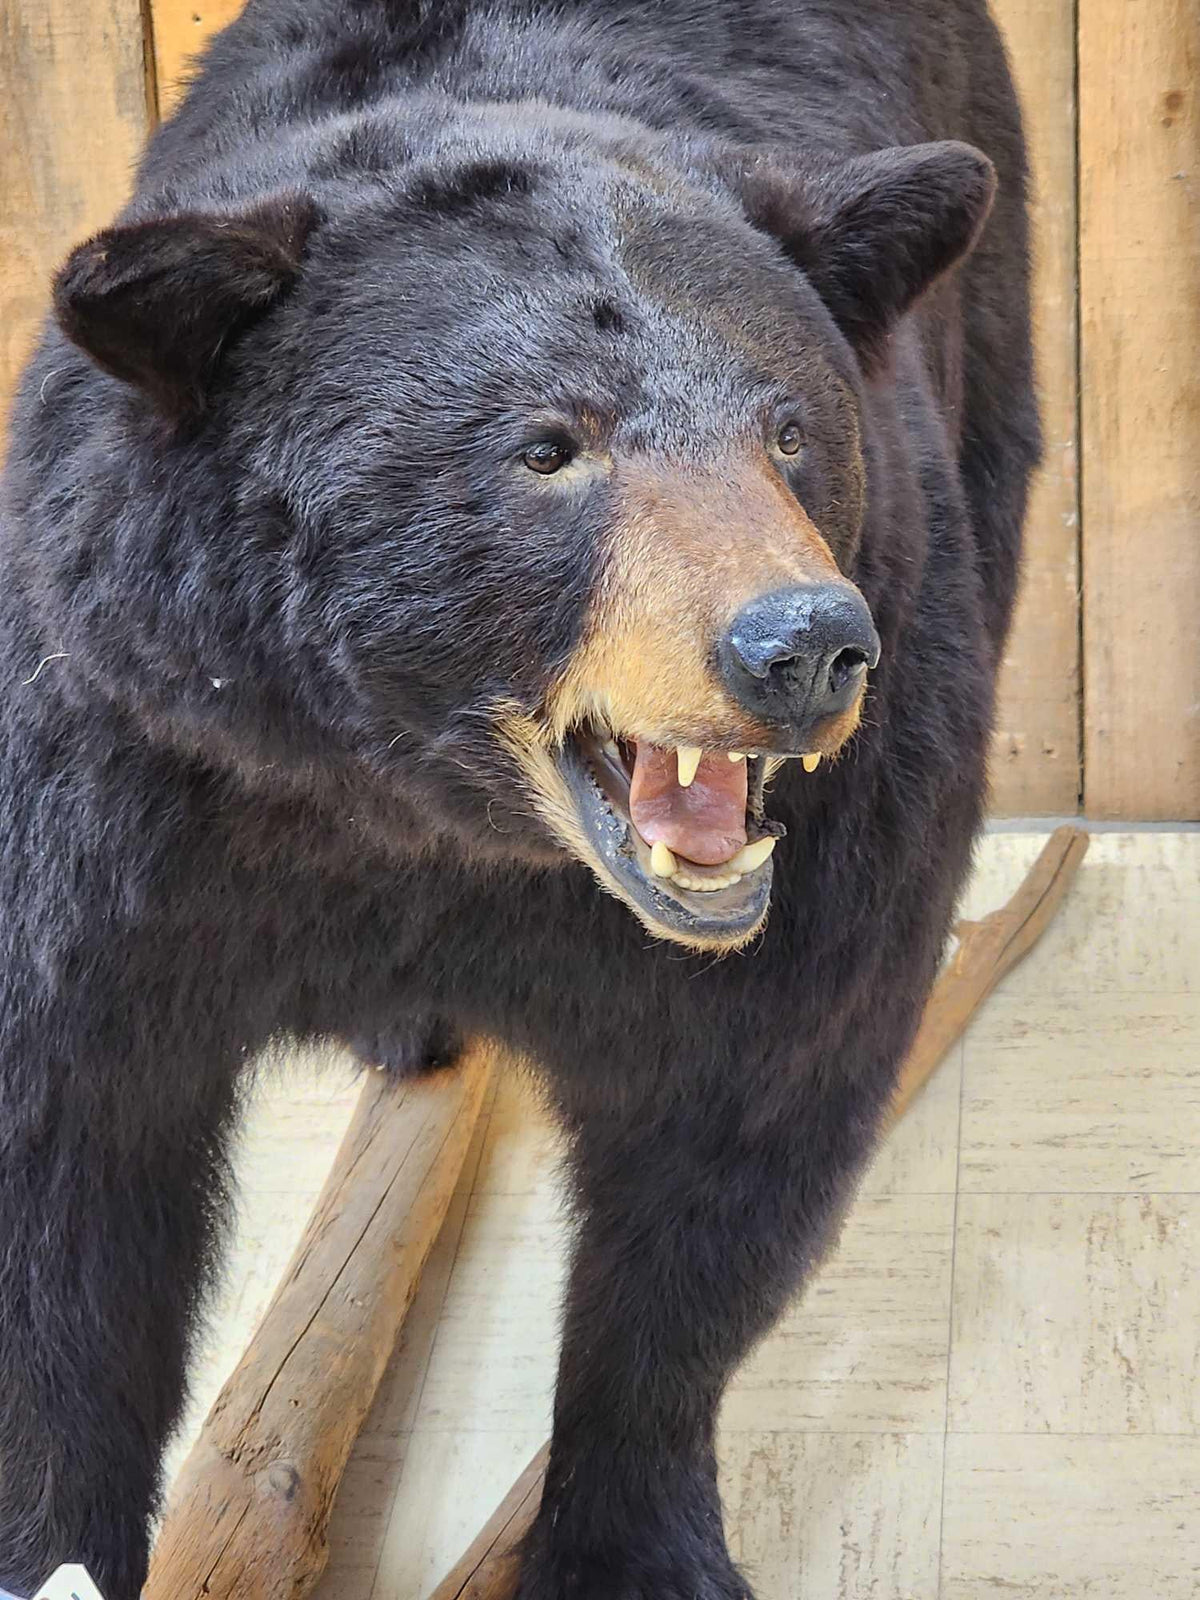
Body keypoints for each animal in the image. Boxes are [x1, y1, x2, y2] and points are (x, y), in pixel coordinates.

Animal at [0, 1, 1038, 1595]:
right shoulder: (121, 791)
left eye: (790, 430)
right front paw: (52, 1538)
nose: (801, 645)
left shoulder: (842, 842)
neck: (418, 805)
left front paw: (637, 1538)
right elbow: (64, 1189)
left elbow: (740, 1141)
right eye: (549, 445)